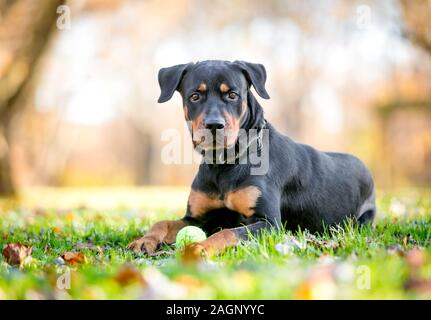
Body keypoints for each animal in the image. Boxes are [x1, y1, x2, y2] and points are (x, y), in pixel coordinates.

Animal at [126, 60, 376, 258]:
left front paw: (200, 247)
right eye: (195, 96)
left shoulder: (269, 223)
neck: (225, 164)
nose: (214, 125)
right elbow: (163, 222)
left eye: (232, 95)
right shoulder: (199, 217)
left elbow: (228, 233)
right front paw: (144, 240)